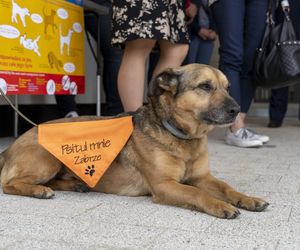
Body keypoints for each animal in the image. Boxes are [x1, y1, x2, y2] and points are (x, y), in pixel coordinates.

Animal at [0, 64, 268, 219]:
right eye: (205, 86)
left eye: (227, 87)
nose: (237, 110)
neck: (182, 137)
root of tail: (10, 147)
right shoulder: (165, 185)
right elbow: (196, 193)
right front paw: (219, 205)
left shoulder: (203, 177)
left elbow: (227, 188)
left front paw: (248, 199)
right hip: (46, 158)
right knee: (9, 185)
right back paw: (38, 190)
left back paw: (75, 185)